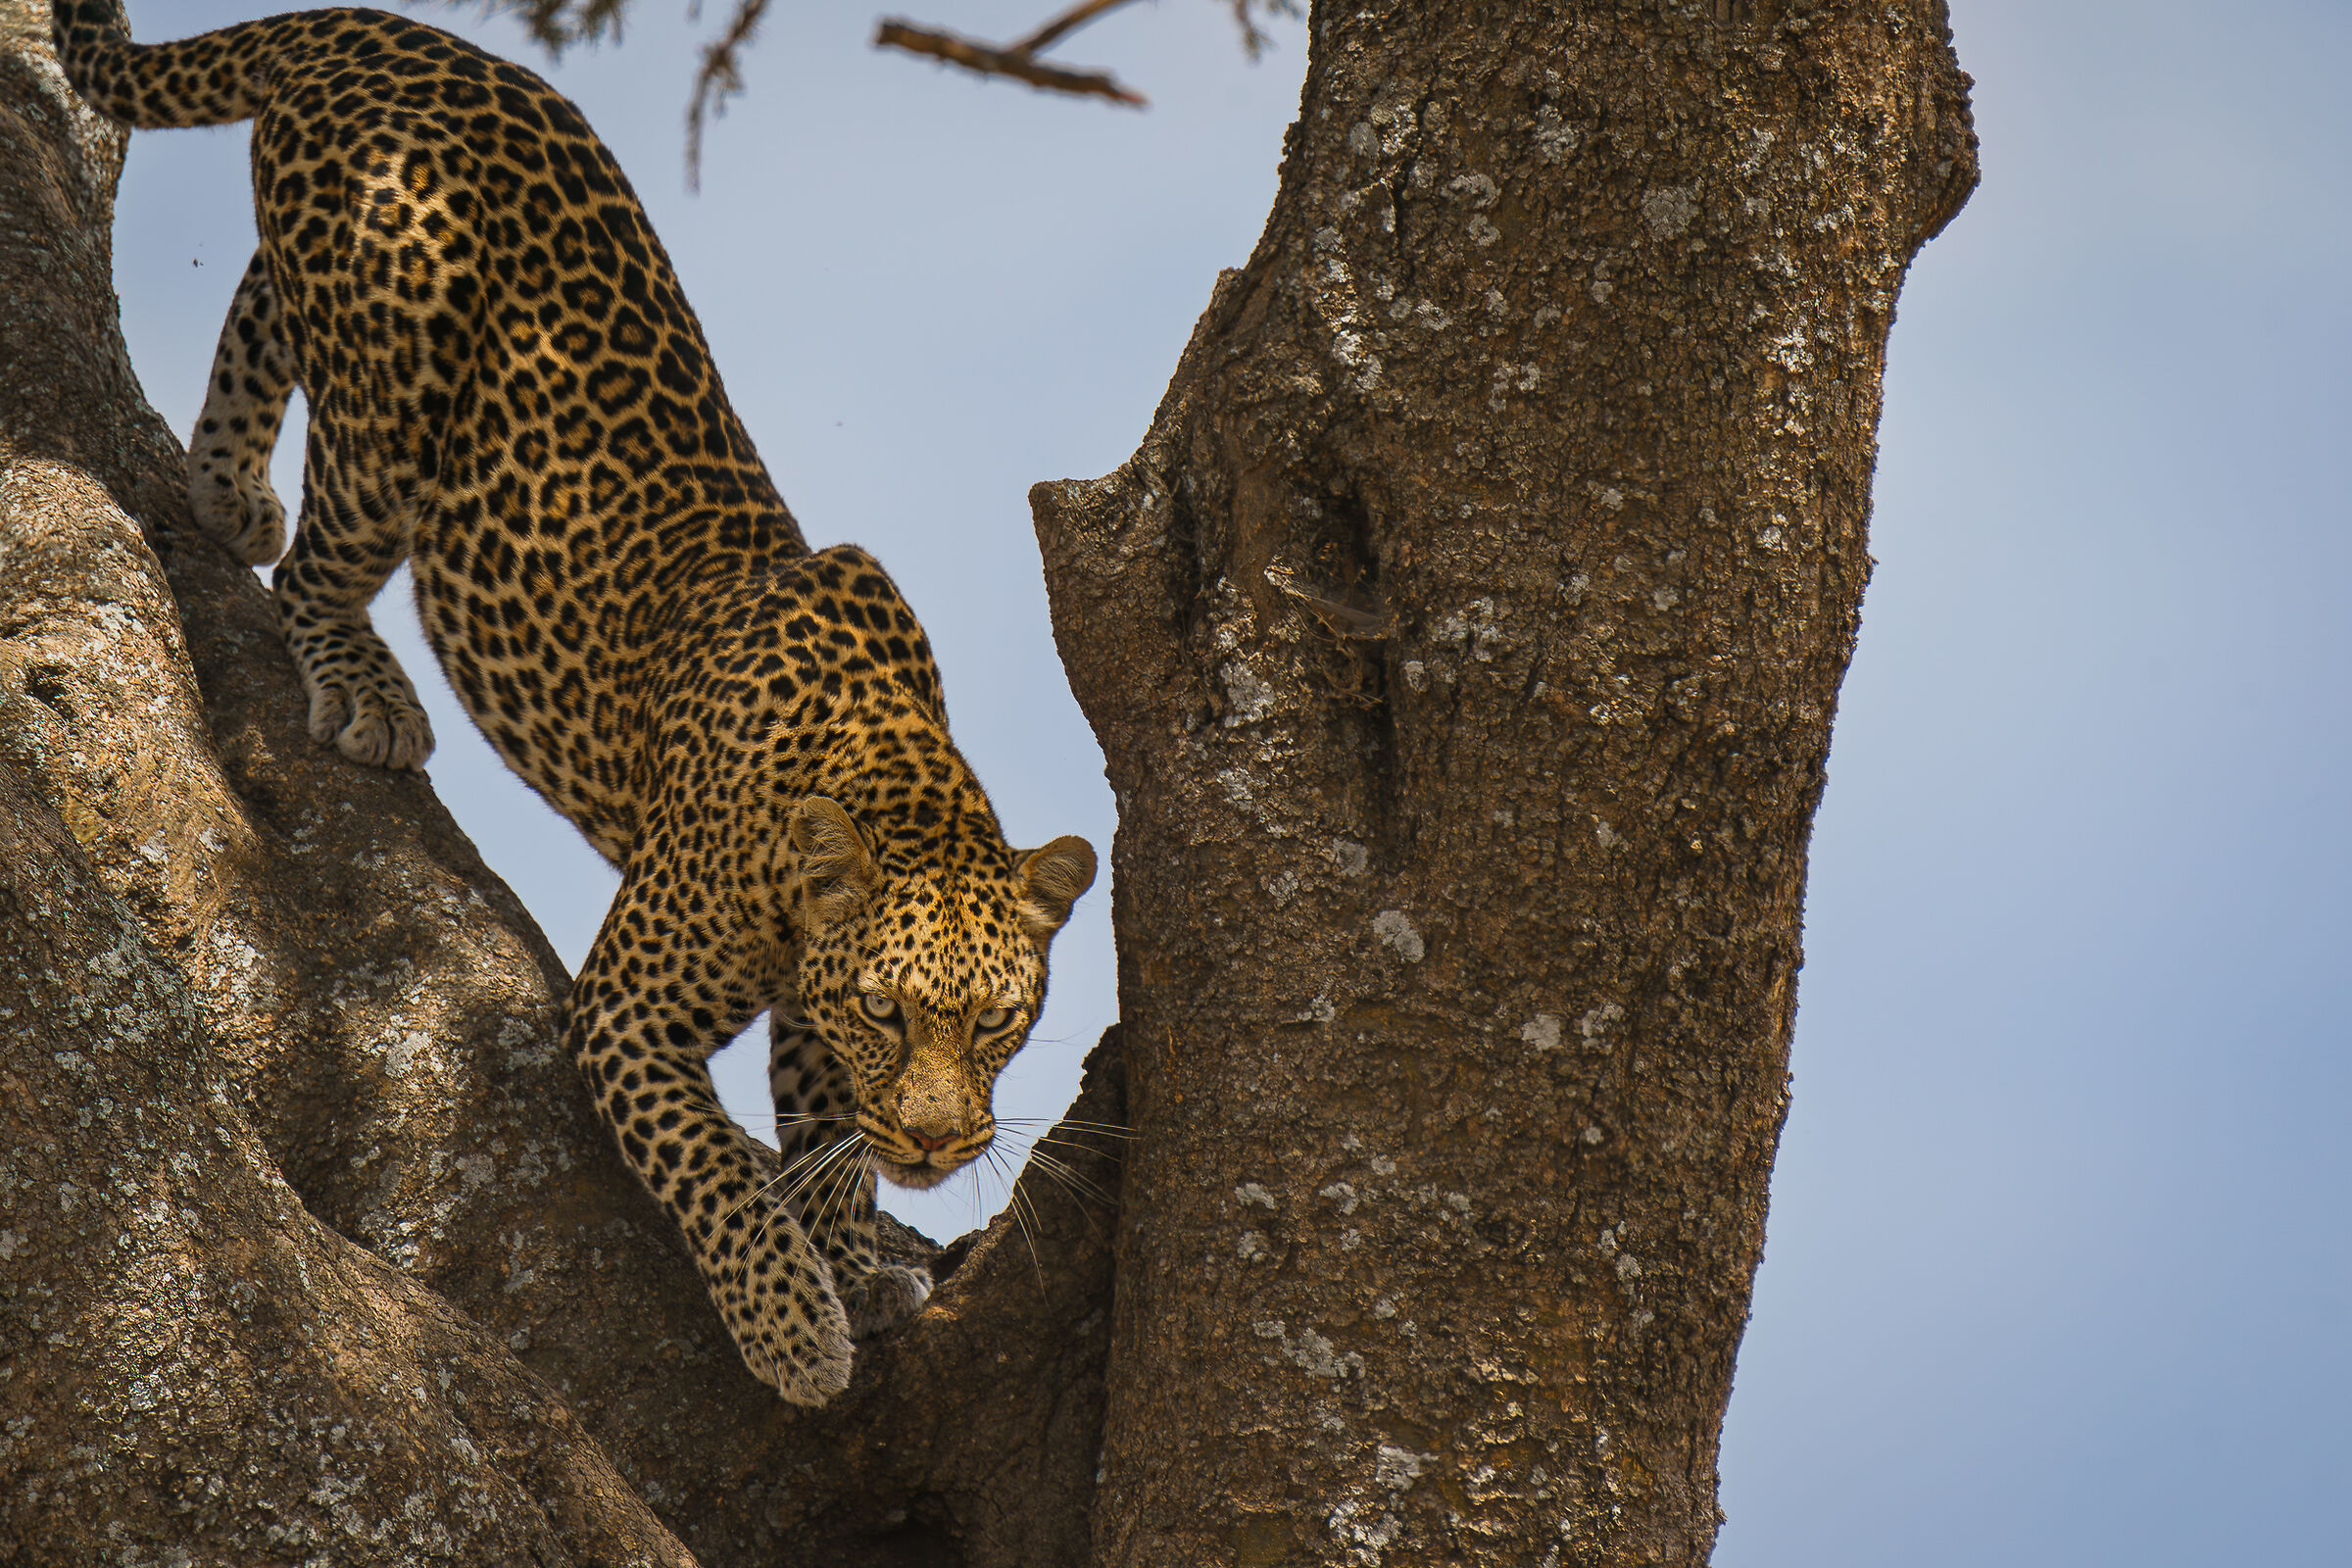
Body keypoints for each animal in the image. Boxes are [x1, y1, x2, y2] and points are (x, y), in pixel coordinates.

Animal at [53, 3, 1095, 1405]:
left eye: (999, 1023)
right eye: (889, 1010)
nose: (936, 1148)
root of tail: (389, 33)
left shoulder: (803, 1004)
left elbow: (817, 1127)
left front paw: (851, 1256)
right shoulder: (628, 1010)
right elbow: (712, 1167)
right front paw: (791, 1318)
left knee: (265, 296)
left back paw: (224, 483)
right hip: (400, 377)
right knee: (316, 556)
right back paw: (361, 681)